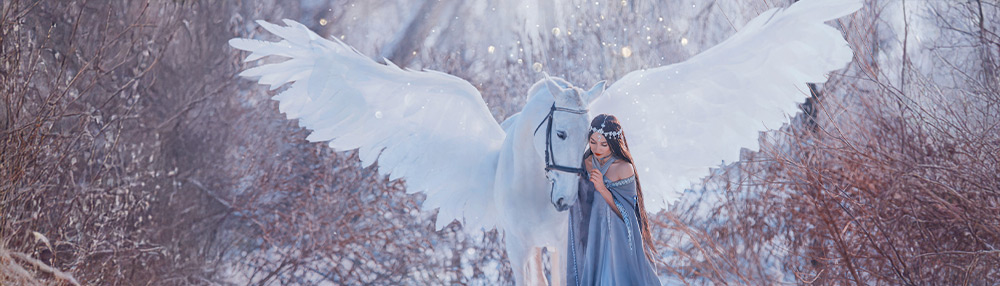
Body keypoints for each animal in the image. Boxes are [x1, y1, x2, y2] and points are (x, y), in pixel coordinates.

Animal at [230, 0, 864, 284]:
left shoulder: (562, 243)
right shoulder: (518, 245)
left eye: (593, 139)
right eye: (559, 132)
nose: (565, 199)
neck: (535, 188)